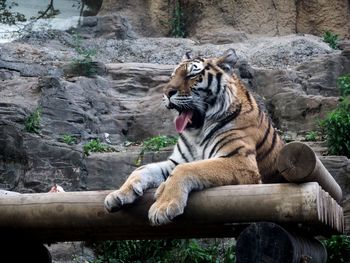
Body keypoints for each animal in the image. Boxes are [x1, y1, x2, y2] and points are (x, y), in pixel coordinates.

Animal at [104, 49, 284, 227]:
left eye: (191, 75)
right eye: (172, 76)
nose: (166, 93)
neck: (198, 131)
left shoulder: (241, 161)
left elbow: (186, 169)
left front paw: (162, 207)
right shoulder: (175, 161)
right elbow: (141, 169)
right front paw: (118, 194)